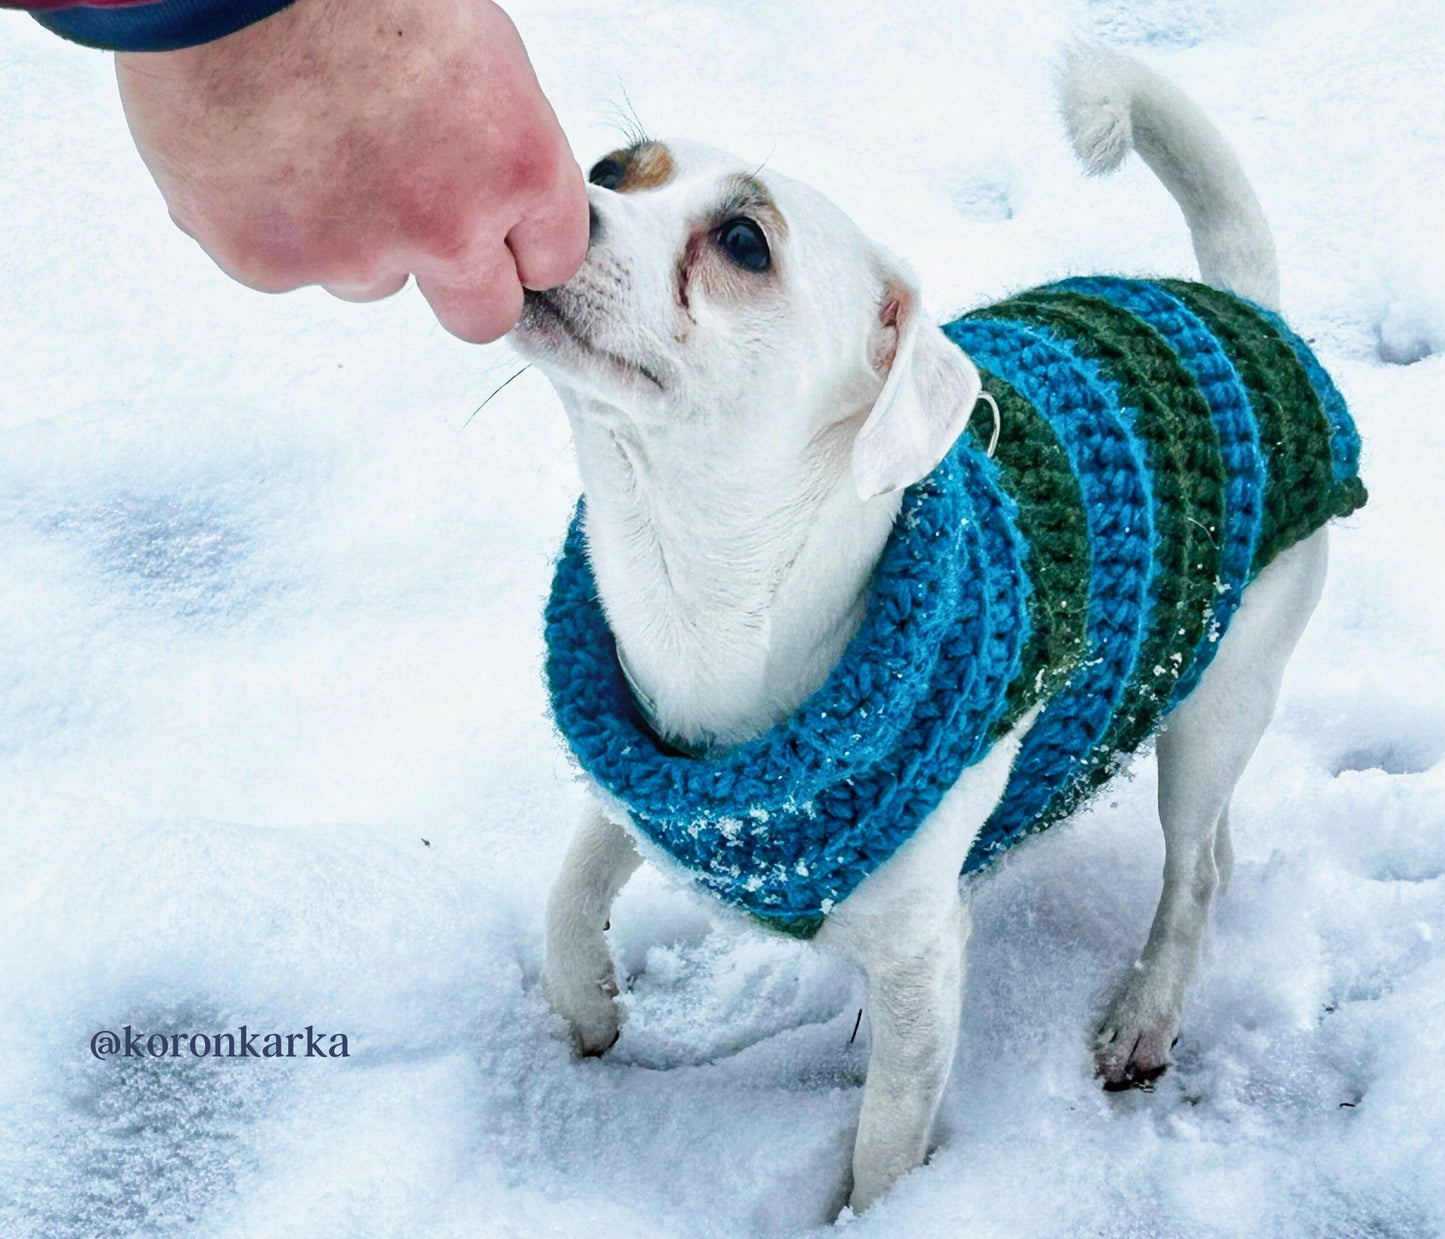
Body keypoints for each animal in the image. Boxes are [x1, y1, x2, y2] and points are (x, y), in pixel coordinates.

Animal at [517, 45, 1352, 1208]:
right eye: (611, 167)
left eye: (743, 242)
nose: (560, 201)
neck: (698, 594)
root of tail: (1241, 306)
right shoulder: (645, 778)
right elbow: (572, 882)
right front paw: (587, 1002)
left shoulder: (919, 963)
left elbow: (884, 1143)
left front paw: (875, 1212)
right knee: (1217, 855)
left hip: (1218, 701)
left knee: (1189, 872)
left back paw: (1145, 1013)